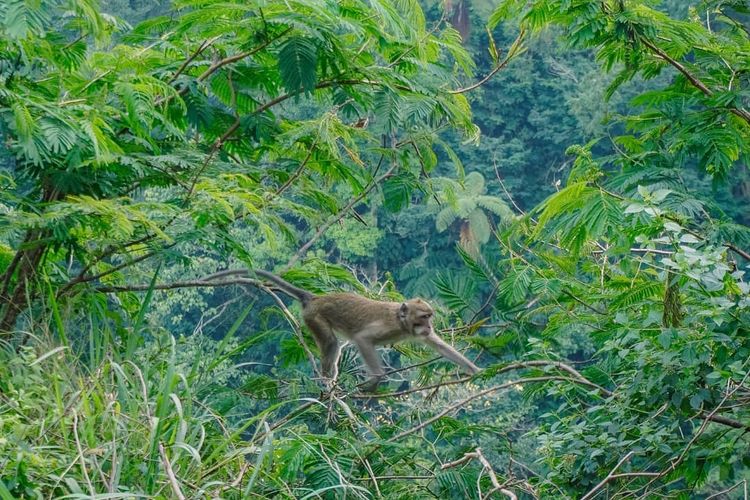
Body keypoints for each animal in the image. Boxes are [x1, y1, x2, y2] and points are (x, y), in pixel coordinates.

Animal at [256, 270, 482, 390]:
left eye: (430, 317)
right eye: (424, 317)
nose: (429, 326)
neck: (400, 321)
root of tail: (315, 298)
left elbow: (439, 346)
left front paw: (477, 371)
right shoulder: (388, 328)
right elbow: (363, 339)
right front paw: (376, 378)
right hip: (314, 317)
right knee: (331, 343)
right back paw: (327, 385)